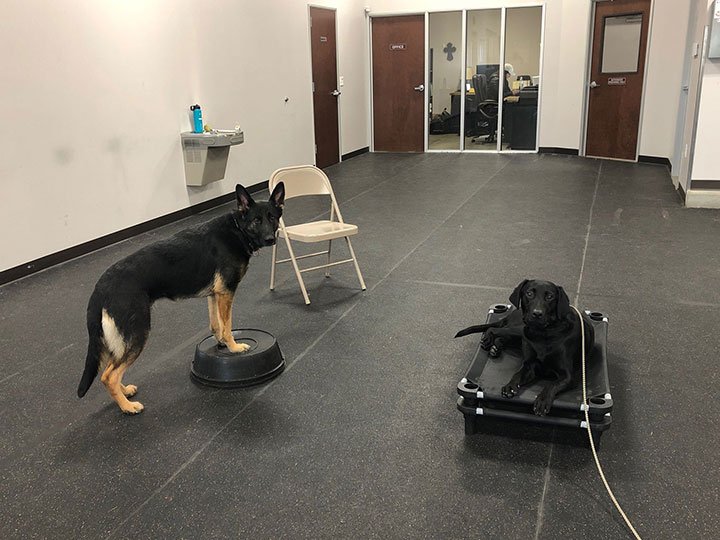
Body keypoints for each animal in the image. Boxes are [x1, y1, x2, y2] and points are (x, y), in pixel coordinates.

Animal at [77, 182, 285, 414]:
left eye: (272, 218)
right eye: (257, 220)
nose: (271, 239)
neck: (237, 229)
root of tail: (101, 286)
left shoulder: (215, 295)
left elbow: (216, 325)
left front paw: (221, 342)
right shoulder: (226, 293)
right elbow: (228, 325)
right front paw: (234, 347)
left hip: (120, 339)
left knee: (109, 370)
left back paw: (125, 392)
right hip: (138, 332)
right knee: (109, 376)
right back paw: (128, 407)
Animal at [456, 279, 594, 416]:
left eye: (550, 296)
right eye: (529, 293)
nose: (537, 313)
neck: (544, 334)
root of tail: (511, 313)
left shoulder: (567, 376)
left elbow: (551, 385)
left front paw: (542, 400)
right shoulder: (530, 365)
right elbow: (517, 374)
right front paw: (510, 386)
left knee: (500, 335)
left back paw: (494, 348)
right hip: (521, 330)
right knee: (494, 329)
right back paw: (489, 341)